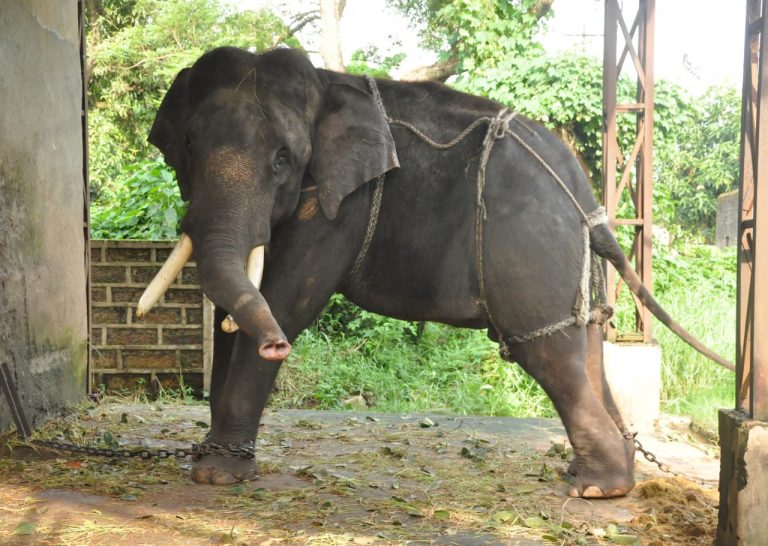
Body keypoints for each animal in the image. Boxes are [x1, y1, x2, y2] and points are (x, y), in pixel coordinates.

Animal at [139, 46, 731, 498]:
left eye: (283, 159)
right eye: (187, 145)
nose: (274, 346)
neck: (324, 88)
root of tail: (588, 198)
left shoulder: (339, 204)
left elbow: (286, 301)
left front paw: (217, 476)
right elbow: (236, 309)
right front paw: (208, 457)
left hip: (531, 252)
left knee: (550, 355)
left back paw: (596, 489)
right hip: (568, 263)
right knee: (584, 346)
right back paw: (602, 473)